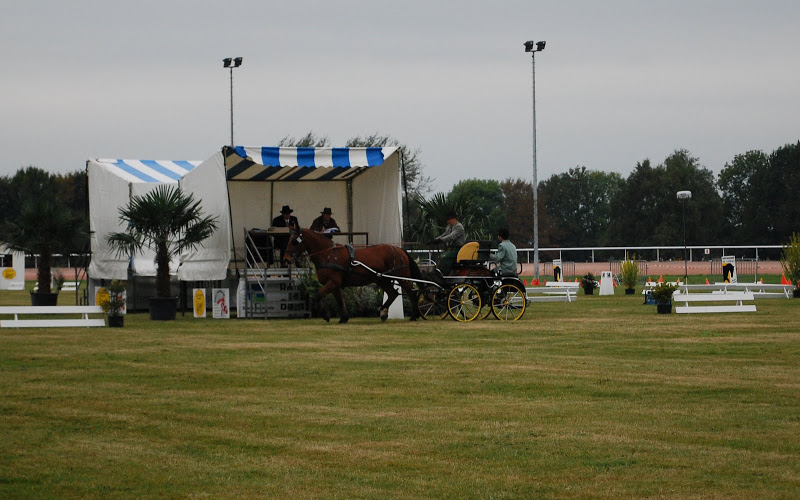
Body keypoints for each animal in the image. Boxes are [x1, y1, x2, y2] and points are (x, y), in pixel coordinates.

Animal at [284, 228, 422, 322]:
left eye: (294, 242)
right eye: (289, 240)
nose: (286, 259)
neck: (328, 255)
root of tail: (399, 250)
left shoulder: (333, 282)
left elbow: (317, 296)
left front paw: (326, 315)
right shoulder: (335, 285)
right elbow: (340, 301)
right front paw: (344, 318)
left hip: (402, 278)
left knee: (411, 293)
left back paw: (414, 315)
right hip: (382, 279)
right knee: (393, 294)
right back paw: (383, 313)